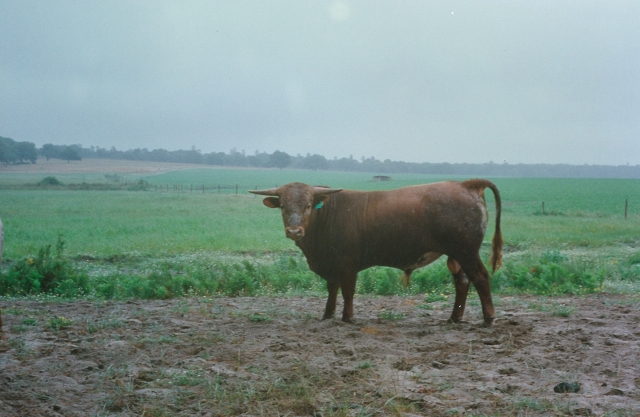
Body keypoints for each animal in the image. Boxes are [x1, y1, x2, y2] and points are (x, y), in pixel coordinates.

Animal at [252, 179, 502, 324]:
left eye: (307, 205)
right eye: (283, 207)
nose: (294, 231)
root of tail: (465, 184)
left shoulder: (347, 263)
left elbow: (347, 291)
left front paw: (348, 317)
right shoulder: (332, 264)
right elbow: (332, 288)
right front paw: (327, 314)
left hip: (467, 252)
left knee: (480, 277)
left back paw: (488, 317)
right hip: (456, 255)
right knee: (462, 282)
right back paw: (454, 318)